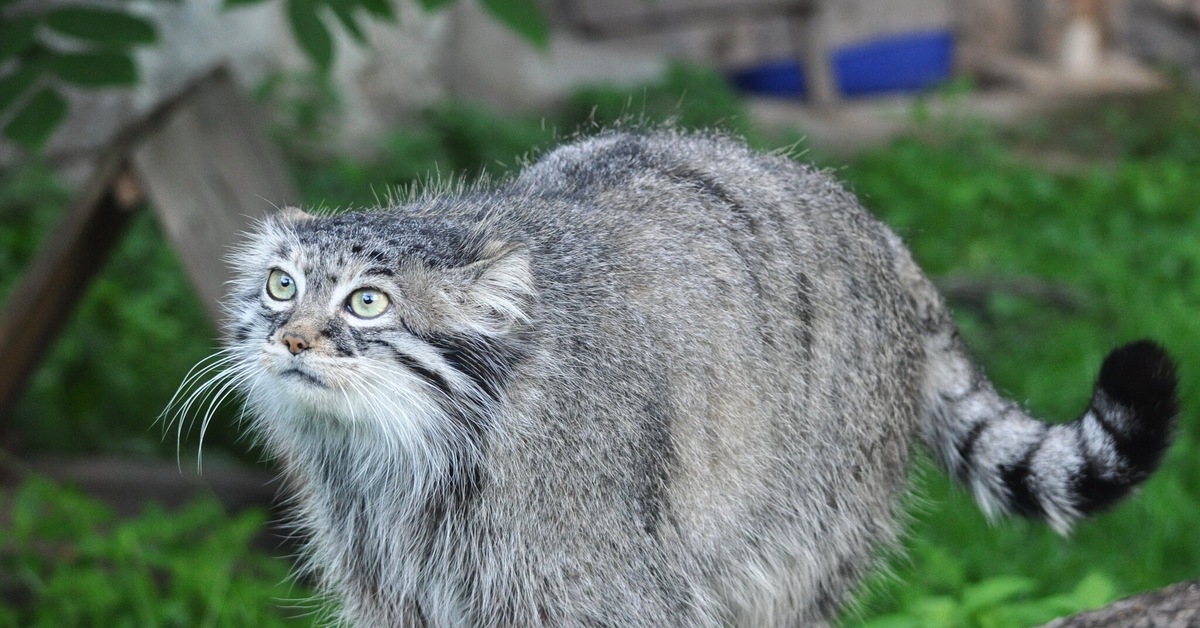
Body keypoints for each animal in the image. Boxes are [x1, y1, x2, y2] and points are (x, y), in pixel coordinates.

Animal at [174, 130, 1176, 624]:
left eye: (368, 302)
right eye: (281, 284)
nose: (291, 338)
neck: (406, 459)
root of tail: (884, 239)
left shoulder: (582, 583)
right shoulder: (395, 585)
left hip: (802, 539)